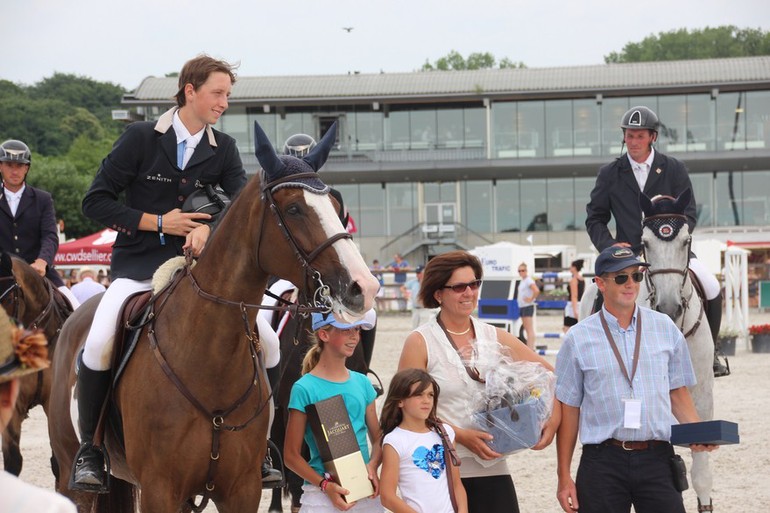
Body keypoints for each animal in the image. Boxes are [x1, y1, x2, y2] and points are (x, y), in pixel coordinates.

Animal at [47, 121, 378, 512]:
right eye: (295, 208)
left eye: (337, 207)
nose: (364, 287)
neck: (209, 356)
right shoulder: (160, 490)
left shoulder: (242, 489)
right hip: (74, 479)